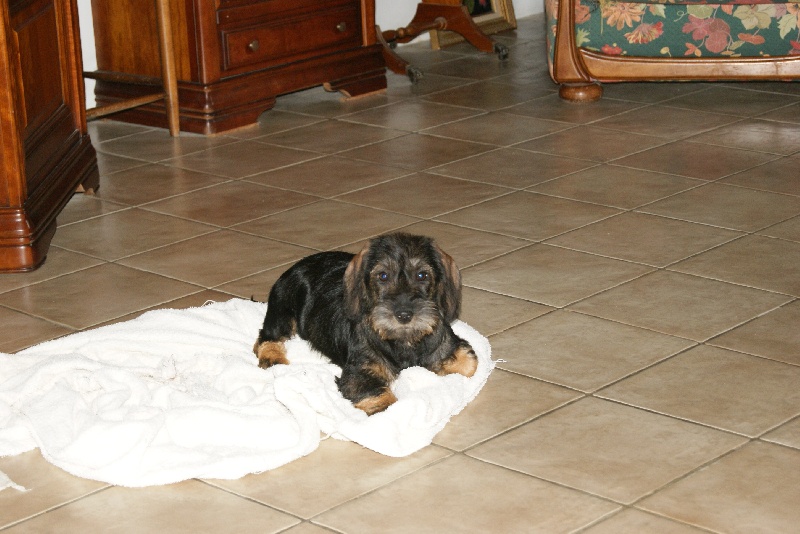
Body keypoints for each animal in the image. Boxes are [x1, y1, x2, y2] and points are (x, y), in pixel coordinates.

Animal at [253, 233, 478, 415]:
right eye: (383, 276)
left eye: (422, 275)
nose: (404, 315)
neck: (403, 341)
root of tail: (295, 266)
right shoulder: (358, 374)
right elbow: (385, 401)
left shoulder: (451, 347)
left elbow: (469, 365)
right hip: (282, 312)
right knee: (265, 338)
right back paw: (273, 358)